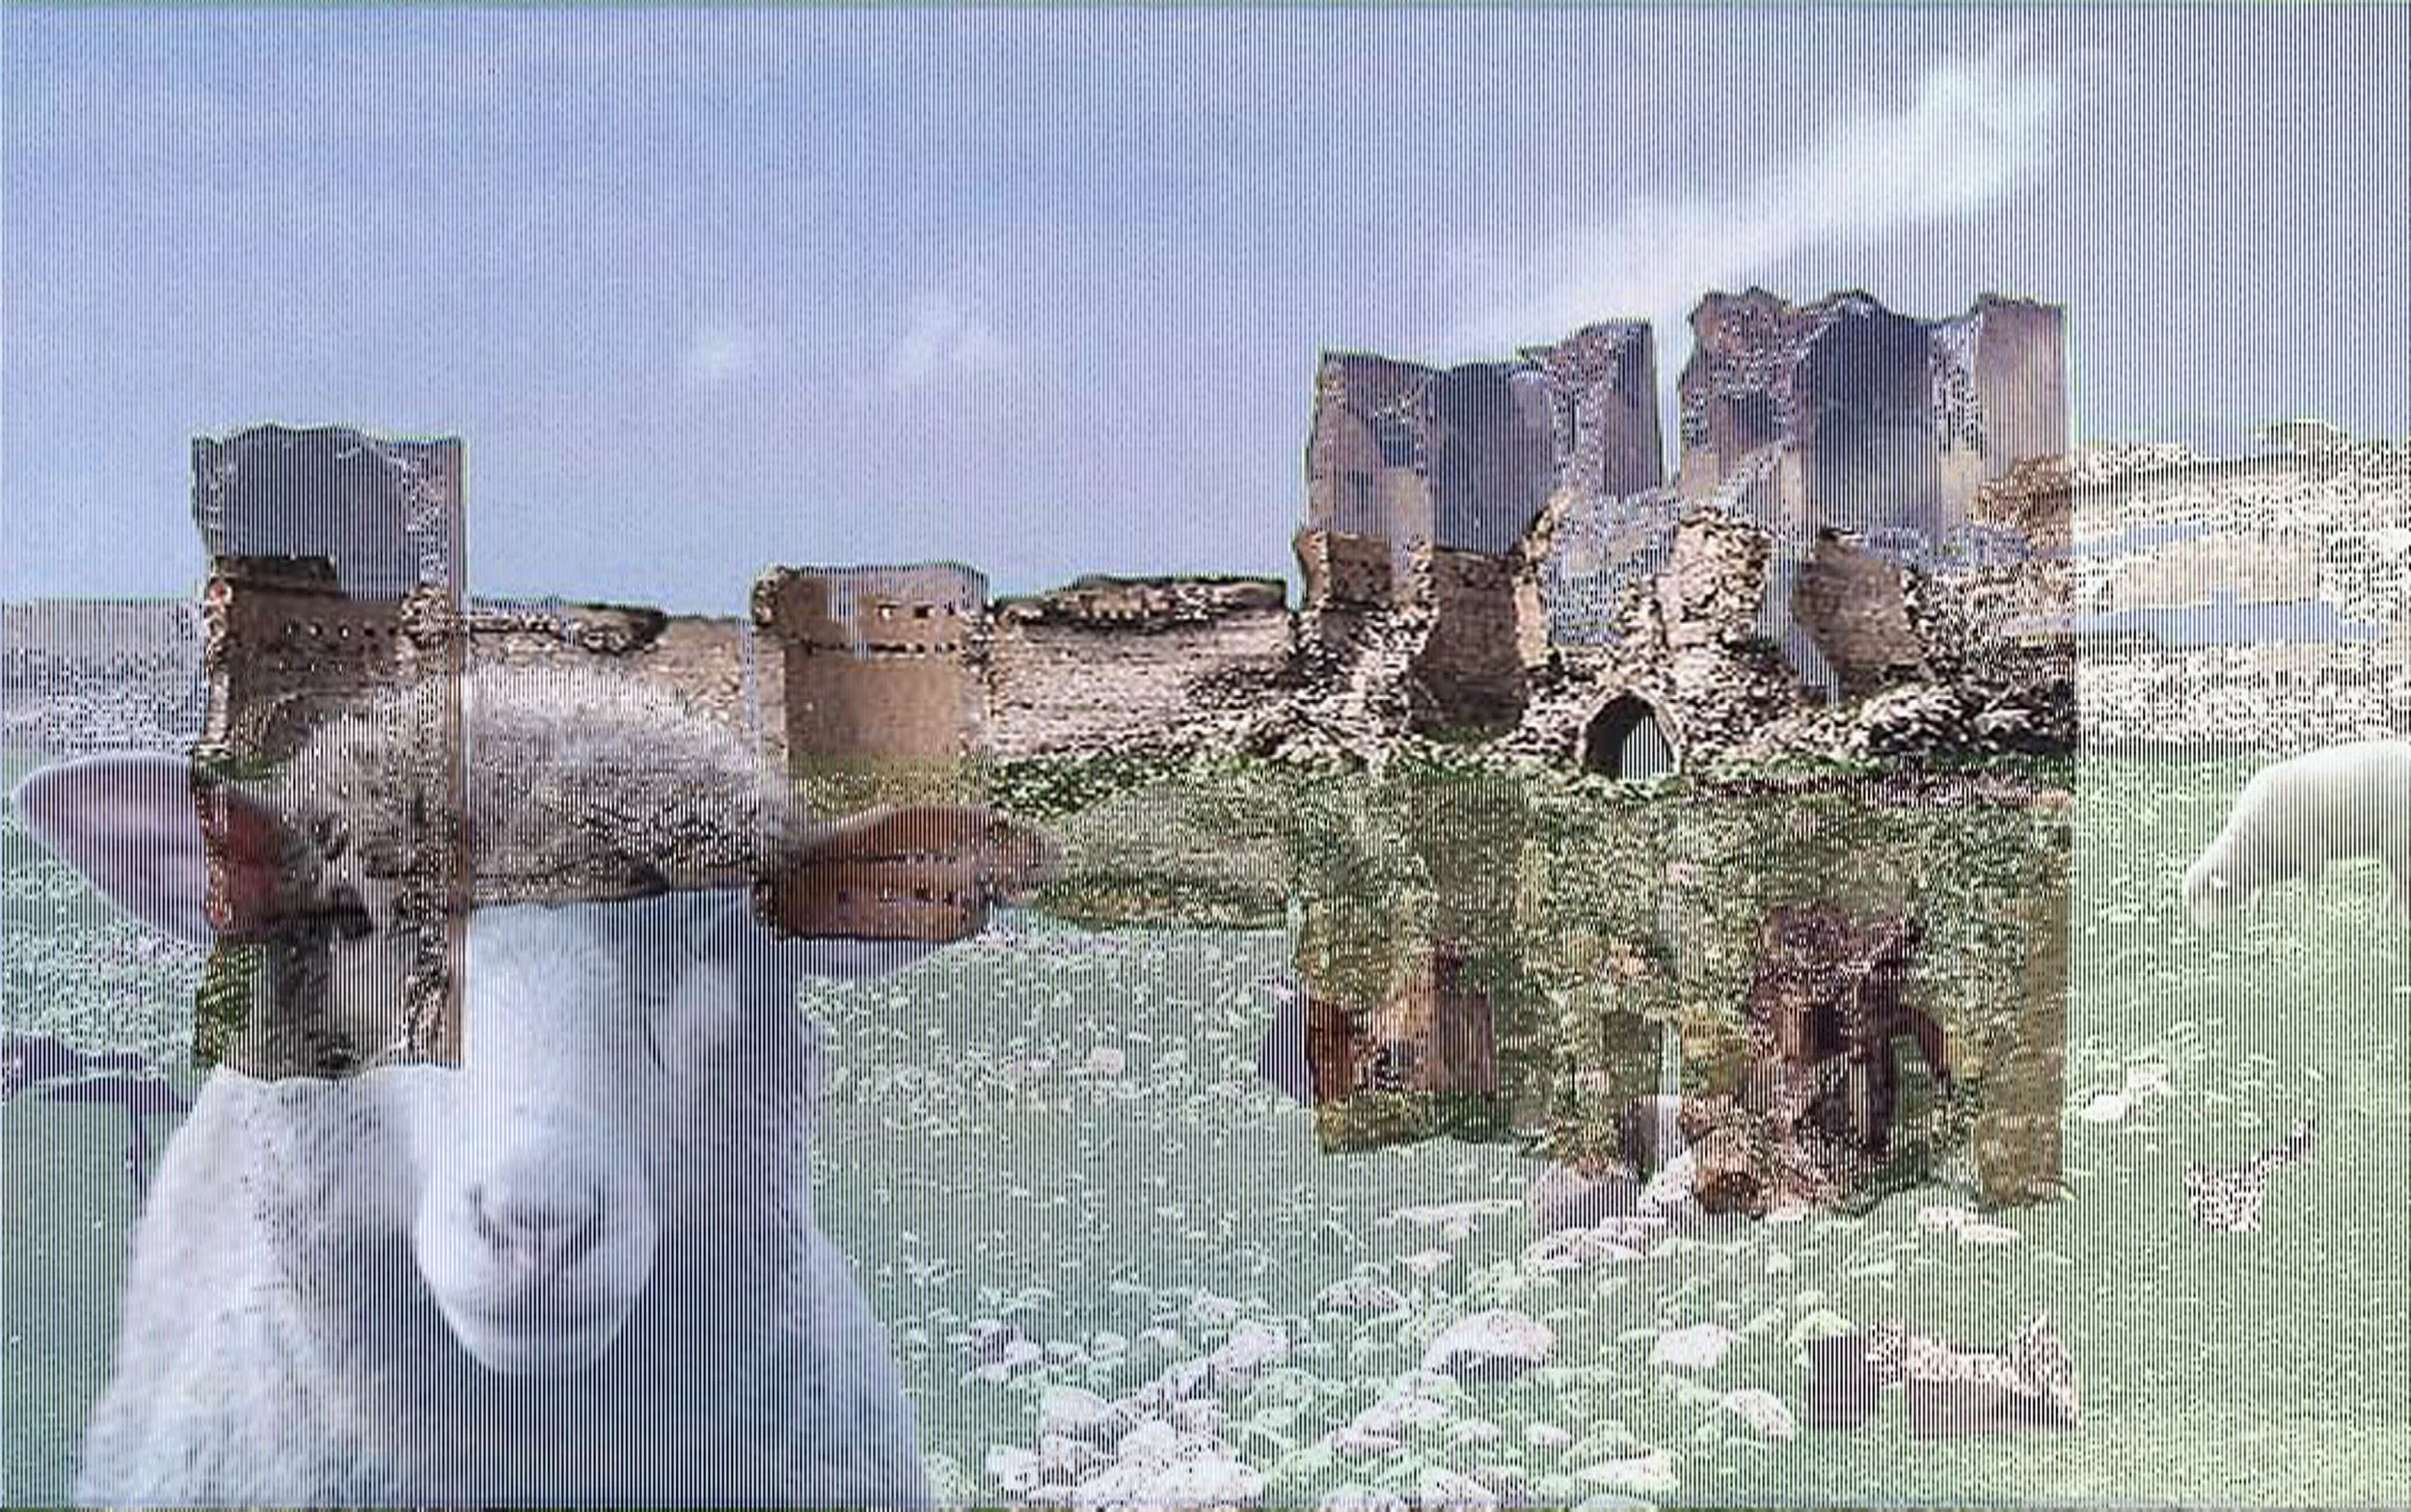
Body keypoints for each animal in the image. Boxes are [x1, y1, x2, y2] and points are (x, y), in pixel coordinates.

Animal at [2181, 738, 2411, 929]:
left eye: (2203, 896)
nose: (2200, 932)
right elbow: (2261, 890)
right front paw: (2254, 915)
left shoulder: (2312, 852)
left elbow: (2310, 891)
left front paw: (2308, 919)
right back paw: (2382, 917)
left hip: (2397, 836)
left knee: (2402, 881)